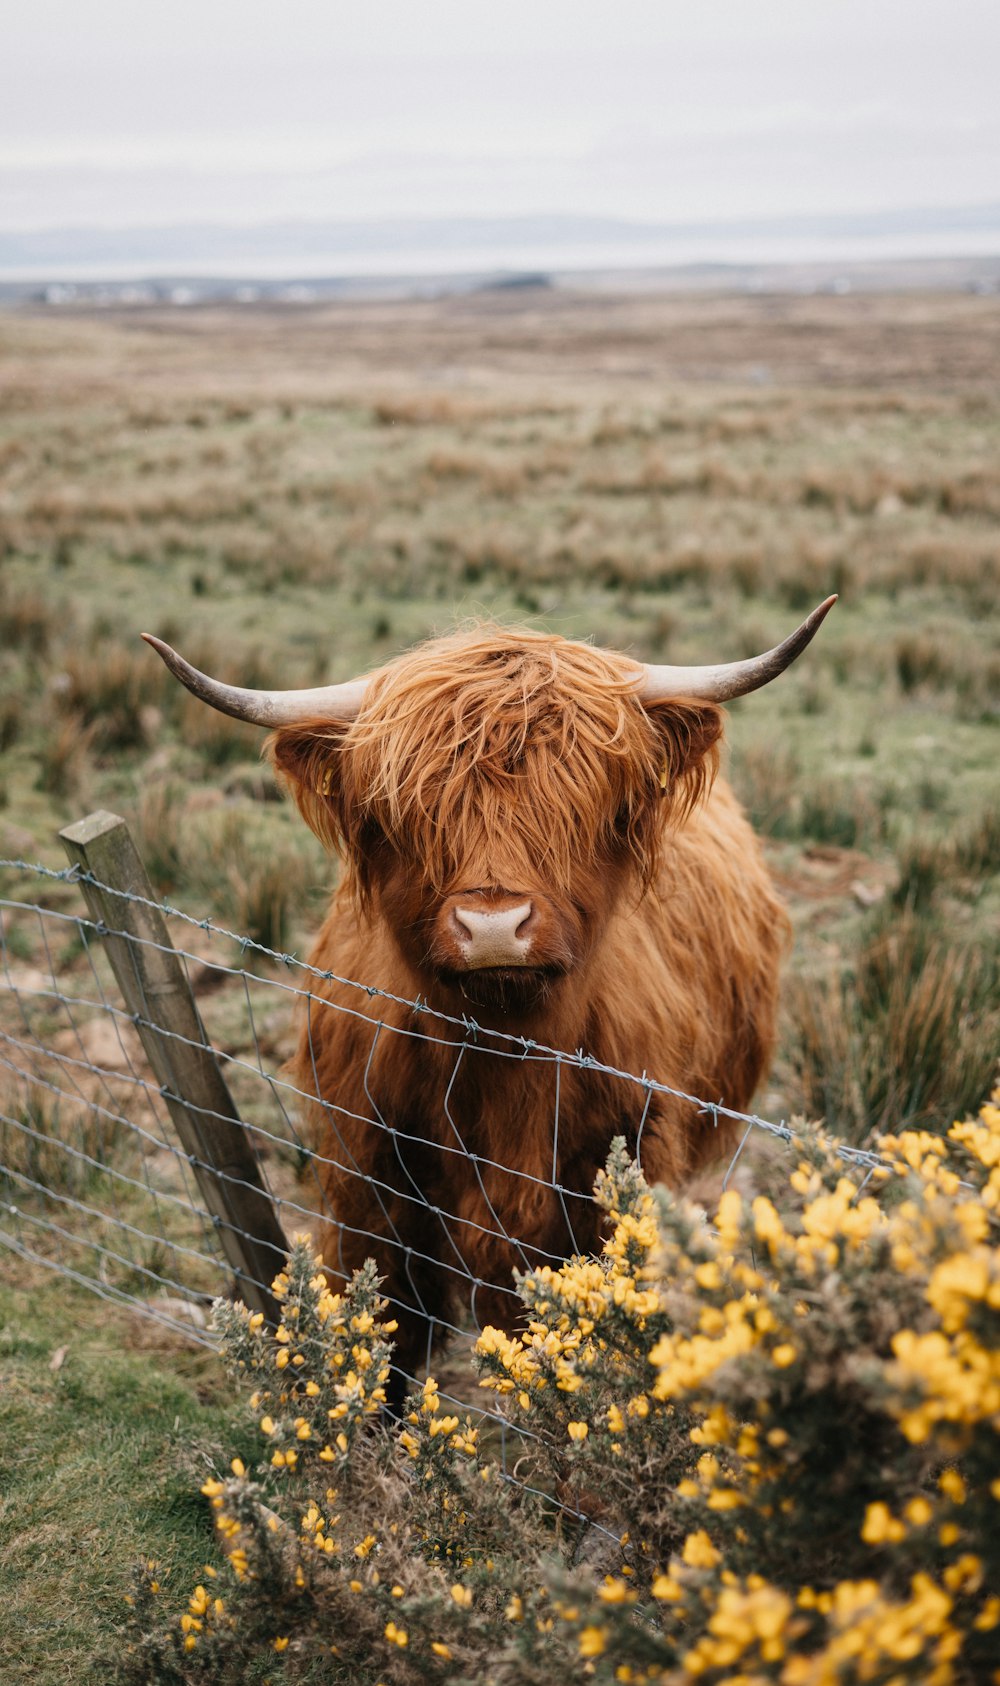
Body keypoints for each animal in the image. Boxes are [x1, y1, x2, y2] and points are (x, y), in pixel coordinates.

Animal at [144, 596, 833, 1396]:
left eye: (582, 806)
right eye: (409, 812)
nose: (495, 927)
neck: (501, 1065)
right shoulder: (370, 1187)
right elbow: (390, 1336)